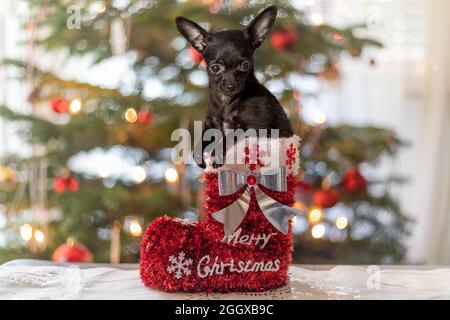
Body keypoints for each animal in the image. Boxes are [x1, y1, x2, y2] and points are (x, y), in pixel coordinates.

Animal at [174, 5, 294, 168]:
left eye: (245, 65)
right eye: (215, 68)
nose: (231, 85)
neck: (227, 101)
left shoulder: (253, 126)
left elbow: (230, 136)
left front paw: (217, 154)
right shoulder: (211, 123)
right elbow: (202, 141)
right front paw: (199, 155)